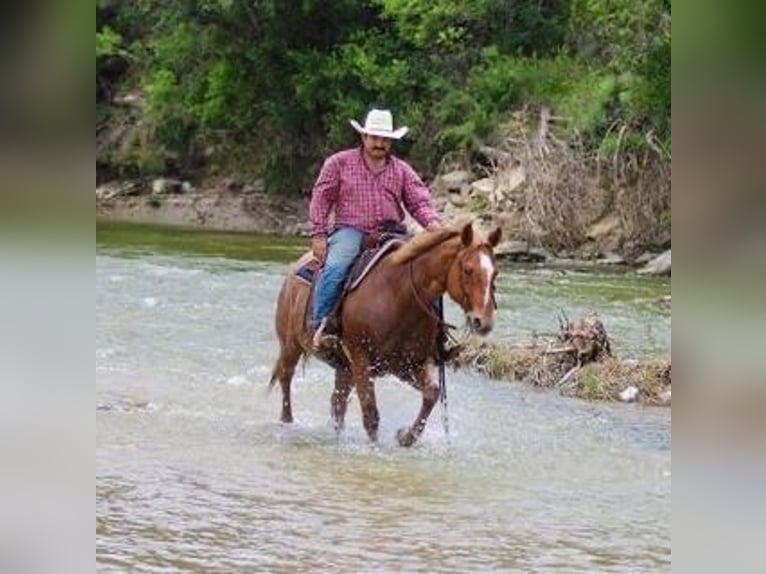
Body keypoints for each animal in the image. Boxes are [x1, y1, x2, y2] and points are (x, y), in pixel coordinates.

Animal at [268, 221, 502, 447]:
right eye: (468, 270)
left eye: (495, 273)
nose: (483, 322)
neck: (398, 295)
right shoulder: (361, 358)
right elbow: (371, 414)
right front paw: (376, 449)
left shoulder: (409, 364)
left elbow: (432, 392)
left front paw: (406, 436)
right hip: (291, 346)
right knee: (286, 380)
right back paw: (287, 422)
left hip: (345, 367)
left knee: (337, 403)